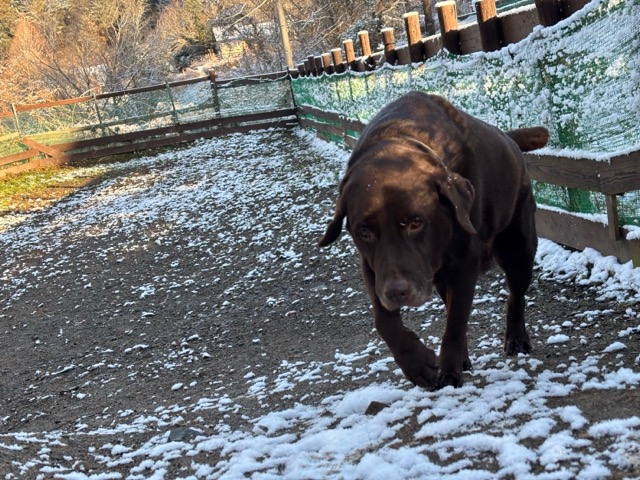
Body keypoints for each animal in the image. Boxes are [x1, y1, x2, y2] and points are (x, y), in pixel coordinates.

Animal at [319, 91, 548, 389]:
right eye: (364, 232)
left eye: (416, 222)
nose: (397, 292)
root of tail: (508, 139)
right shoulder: (372, 266)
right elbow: (384, 320)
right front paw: (419, 365)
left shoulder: (465, 261)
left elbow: (455, 322)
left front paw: (448, 372)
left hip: (518, 246)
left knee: (515, 294)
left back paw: (517, 339)